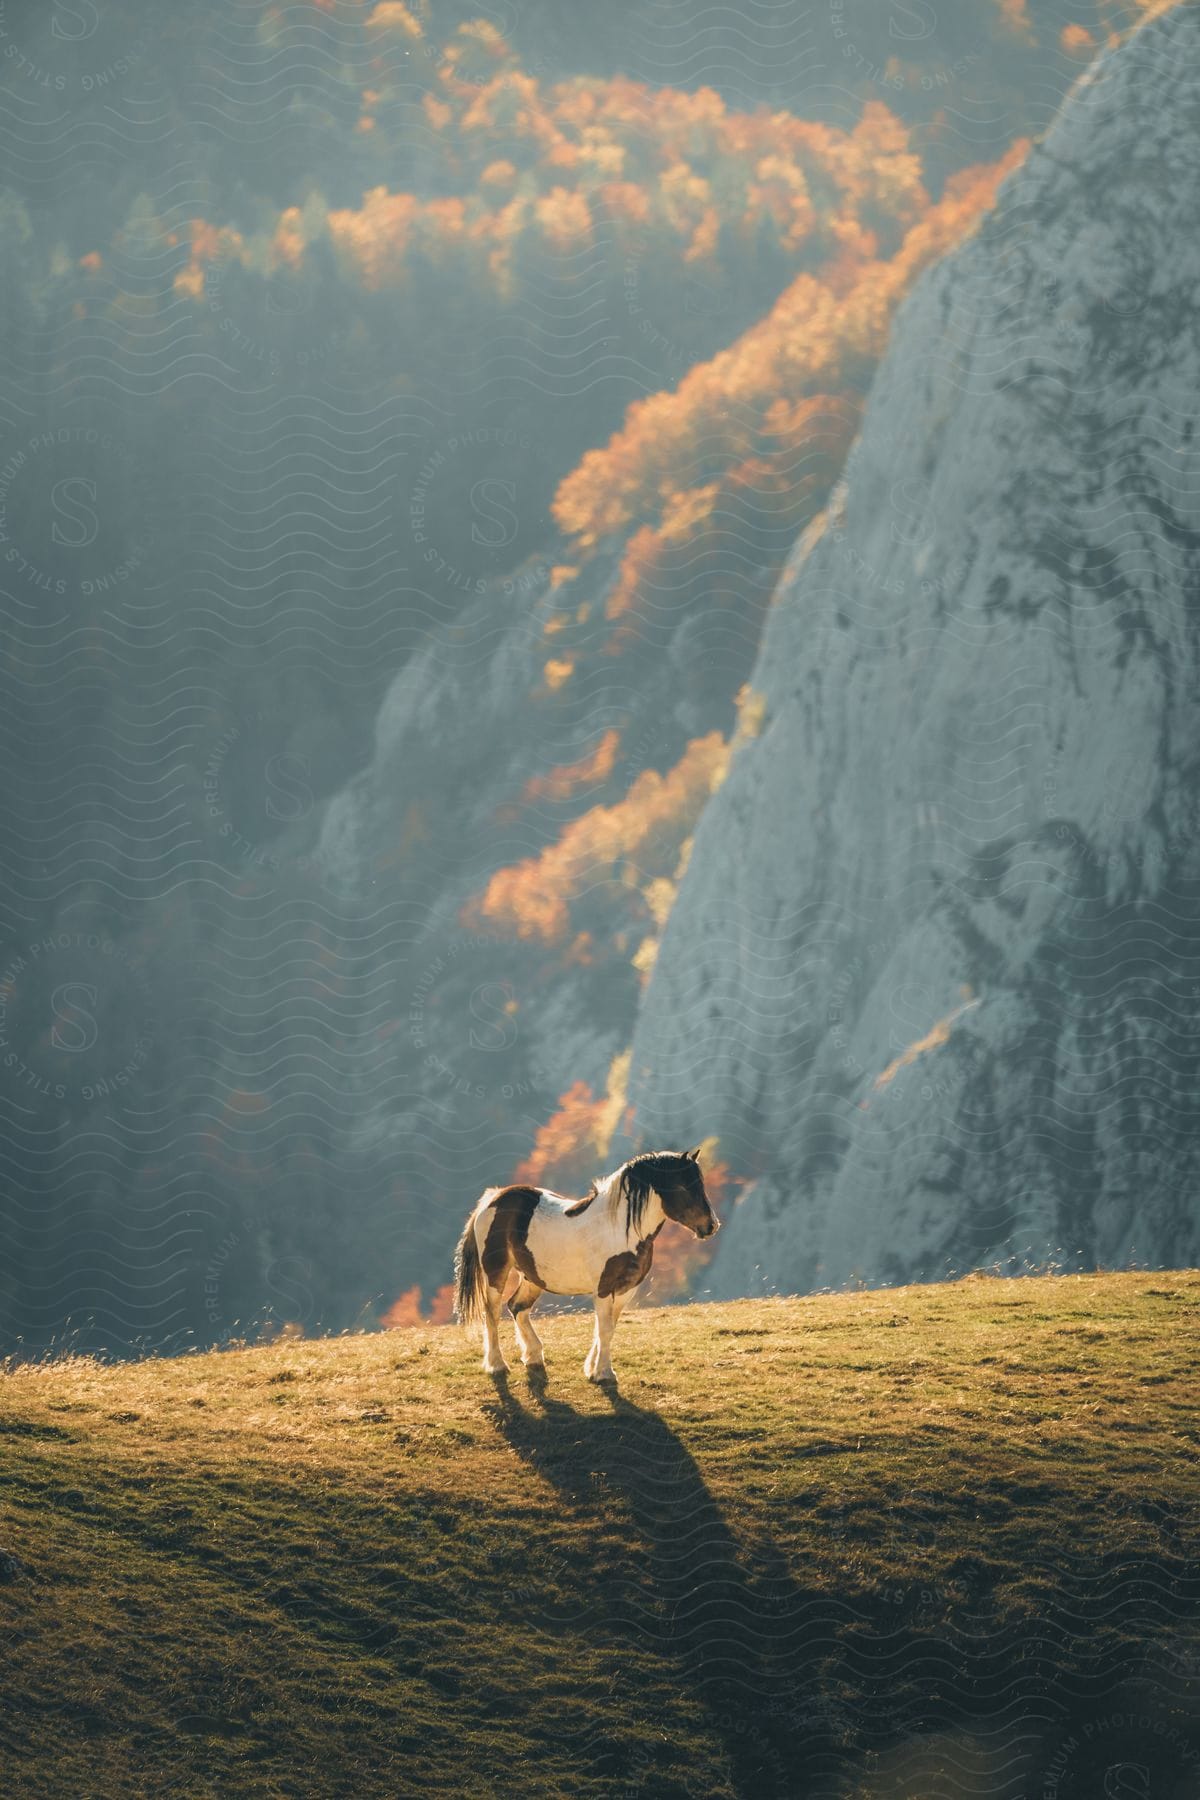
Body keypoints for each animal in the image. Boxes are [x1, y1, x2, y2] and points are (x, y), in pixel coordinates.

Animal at [447, 1144, 712, 1382]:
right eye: (682, 1186)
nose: (711, 1226)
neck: (619, 1227)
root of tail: (493, 1198)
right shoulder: (603, 1289)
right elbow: (604, 1329)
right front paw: (604, 1373)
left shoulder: (626, 1289)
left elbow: (607, 1328)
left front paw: (592, 1369)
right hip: (495, 1272)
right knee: (492, 1312)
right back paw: (497, 1365)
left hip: (533, 1276)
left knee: (517, 1307)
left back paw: (533, 1356)